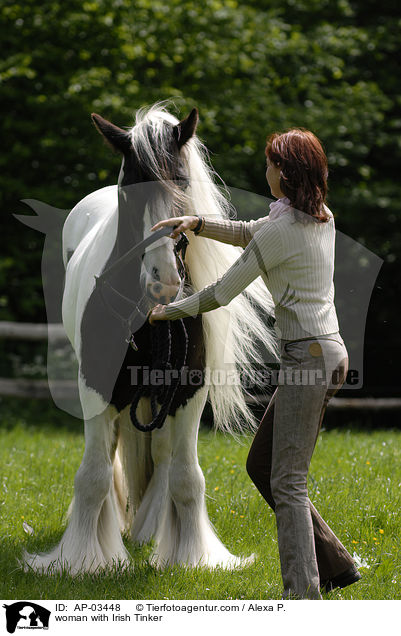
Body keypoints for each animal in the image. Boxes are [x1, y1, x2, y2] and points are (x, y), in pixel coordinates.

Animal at [23, 102, 276, 572]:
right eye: (131, 190)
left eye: (181, 182)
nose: (164, 279)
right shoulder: (96, 388)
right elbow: (94, 476)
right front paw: (82, 561)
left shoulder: (188, 391)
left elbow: (186, 477)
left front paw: (193, 557)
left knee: (160, 455)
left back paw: (146, 530)